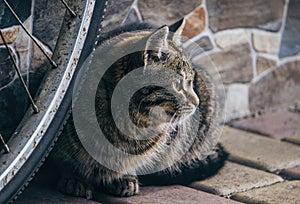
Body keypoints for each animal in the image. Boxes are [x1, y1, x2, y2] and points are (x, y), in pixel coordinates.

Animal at [52, 19, 227, 198]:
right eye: (178, 84)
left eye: (191, 81)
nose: (197, 102)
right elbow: (67, 161)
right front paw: (74, 177)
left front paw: (124, 177)